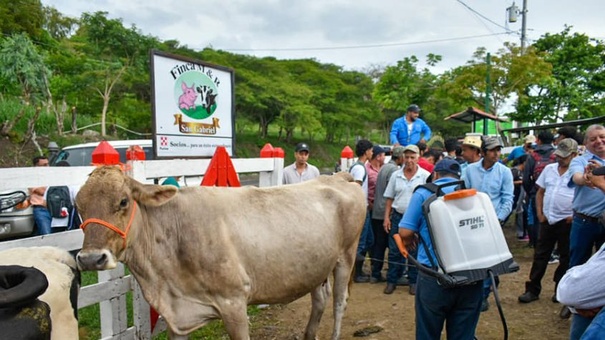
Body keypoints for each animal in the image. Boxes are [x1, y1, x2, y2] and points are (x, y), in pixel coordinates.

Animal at [75, 167, 364, 340]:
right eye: (79, 206)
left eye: (123, 201)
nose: (90, 258)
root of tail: (337, 176)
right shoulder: (176, 315)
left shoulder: (234, 301)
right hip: (315, 265)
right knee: (320, 299)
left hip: (346, 256)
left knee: (340, 302)